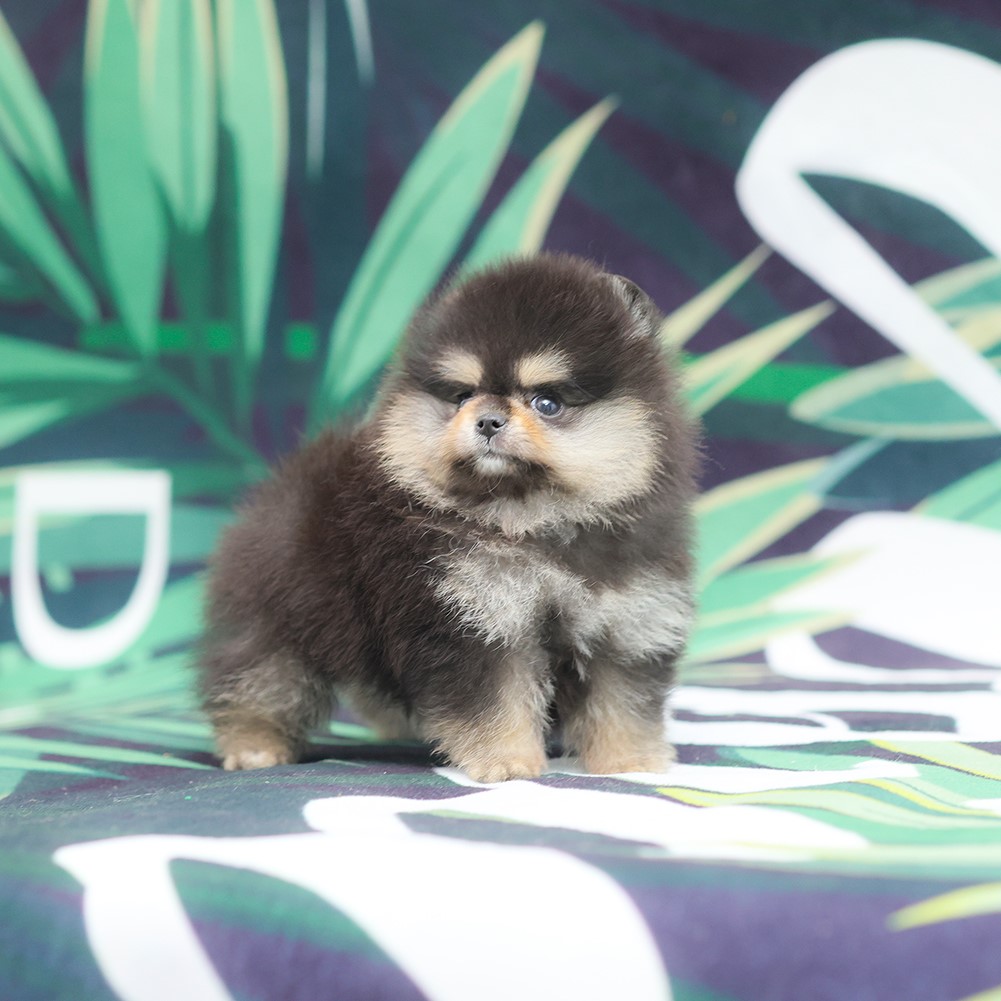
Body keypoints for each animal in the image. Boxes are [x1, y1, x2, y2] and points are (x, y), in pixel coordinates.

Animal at [200, 254, 699, 782]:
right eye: (462, 396)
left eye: (547, 402)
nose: (487, 419)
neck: (533, 523)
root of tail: (291, 479)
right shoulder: (472, 619)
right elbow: (495, 702)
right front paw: (507, 762)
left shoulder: (627, 619)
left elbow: (622, 700)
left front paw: (631, 760)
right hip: (278, 617)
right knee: (260, 680)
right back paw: (255, 745)